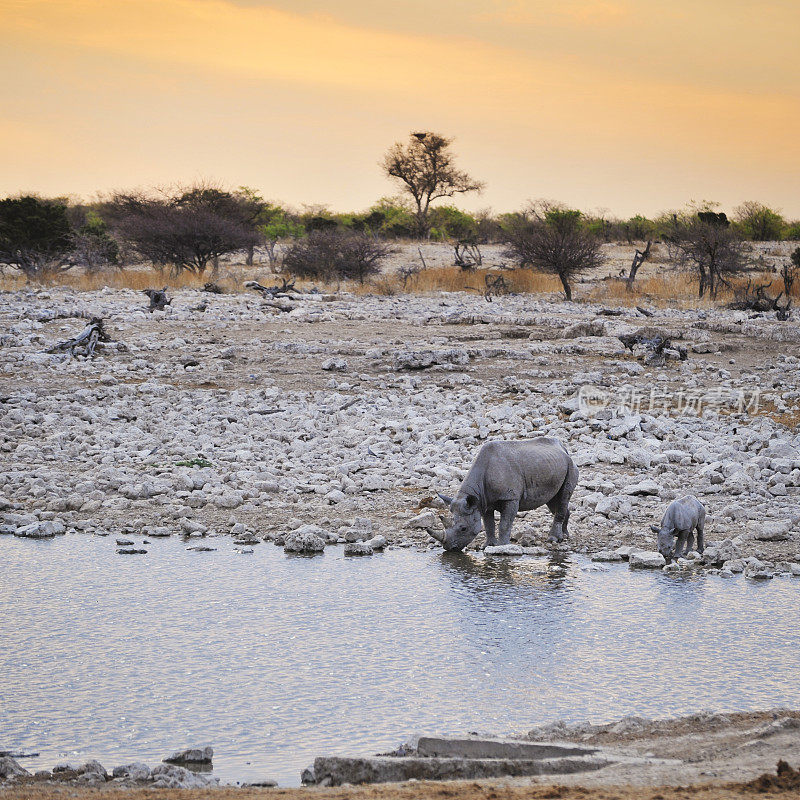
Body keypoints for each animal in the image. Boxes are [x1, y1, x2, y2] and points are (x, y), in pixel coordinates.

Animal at [432, 434, 576, 552]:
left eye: (463, 528)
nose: (449, 548)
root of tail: (563, 448)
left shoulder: (510, 498)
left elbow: (505, 524)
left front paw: (502, 546)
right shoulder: (483, 501)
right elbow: (488, 524)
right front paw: (488, 545)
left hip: (570, 465)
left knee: (563, 497)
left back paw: (554, 539)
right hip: (551, 465)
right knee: (553, 501)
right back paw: (565, 535)